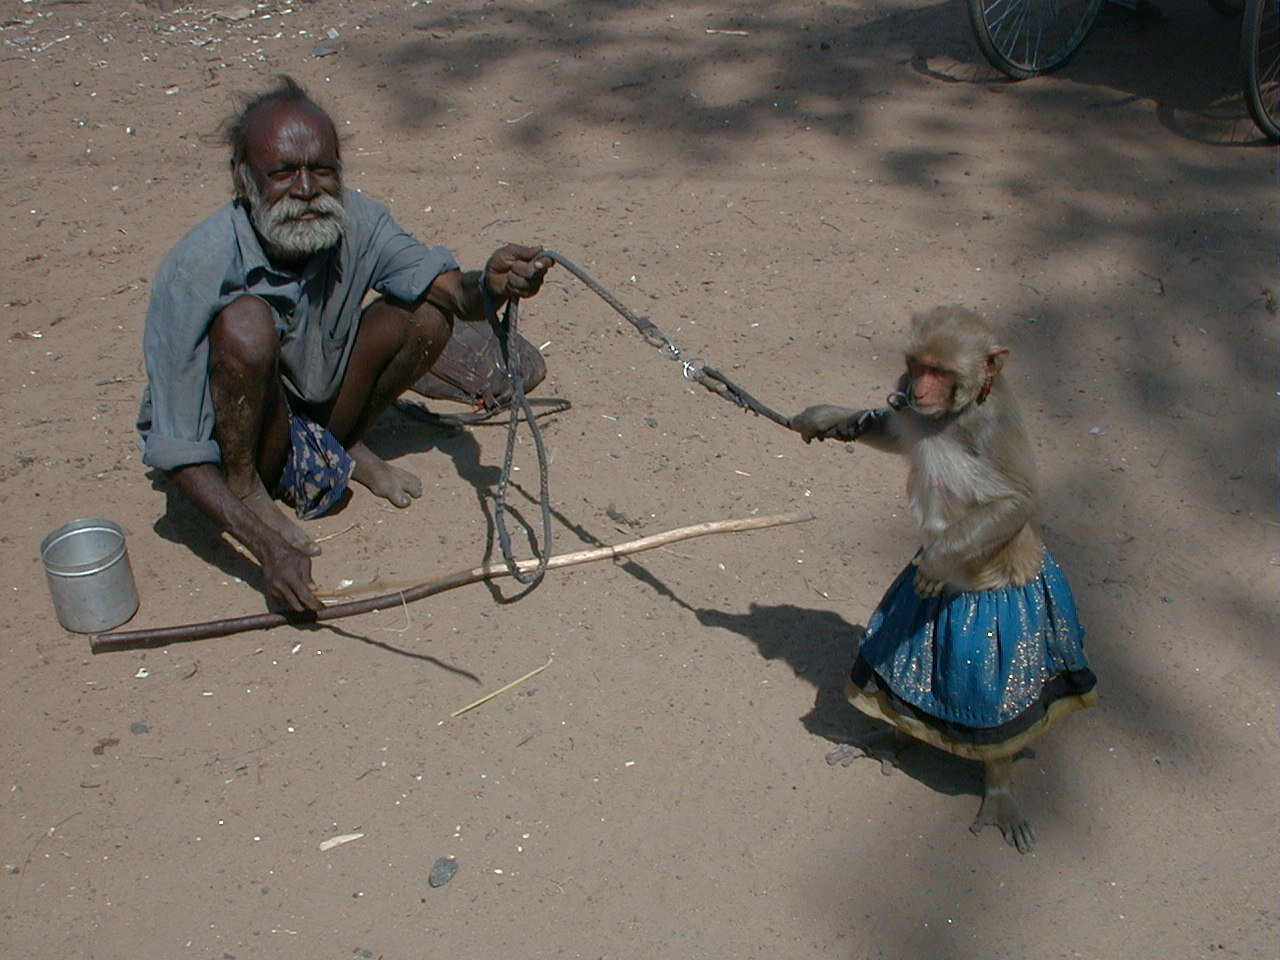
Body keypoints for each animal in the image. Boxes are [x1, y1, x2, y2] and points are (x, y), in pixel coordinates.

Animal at [793, 308, 1095, 855]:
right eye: (917, 365)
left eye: (940, 370)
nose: (917, 388)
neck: (952, 416)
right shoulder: (912, 412)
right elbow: (896, 430)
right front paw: (827, 416)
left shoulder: (990, 429)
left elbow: (1016, 502)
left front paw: (936, 561)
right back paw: (890, 738)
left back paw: (998, 787)